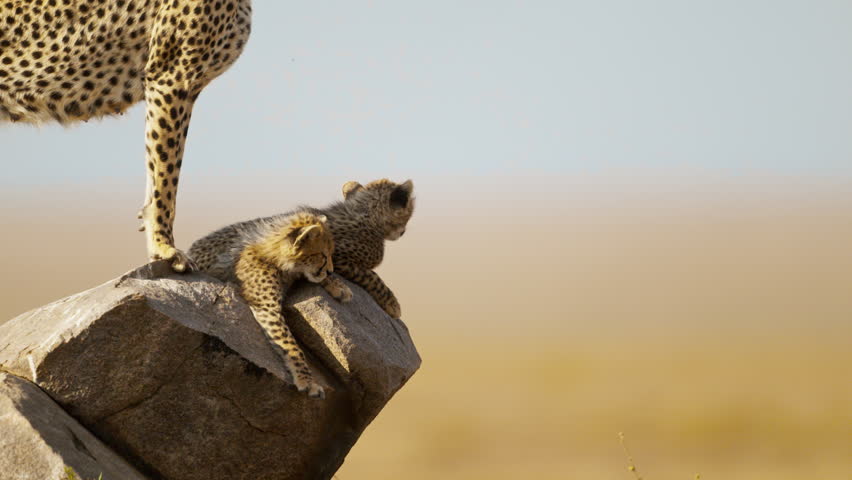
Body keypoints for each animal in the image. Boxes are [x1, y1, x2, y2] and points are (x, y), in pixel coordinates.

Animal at [189, 211, 351, 399]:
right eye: (323, 255)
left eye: (331, 253)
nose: (331, 271)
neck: (275, 254)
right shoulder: (267, 307)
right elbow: (290, 344)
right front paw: (307, 380)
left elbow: (313, 277)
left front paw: (339, 286)